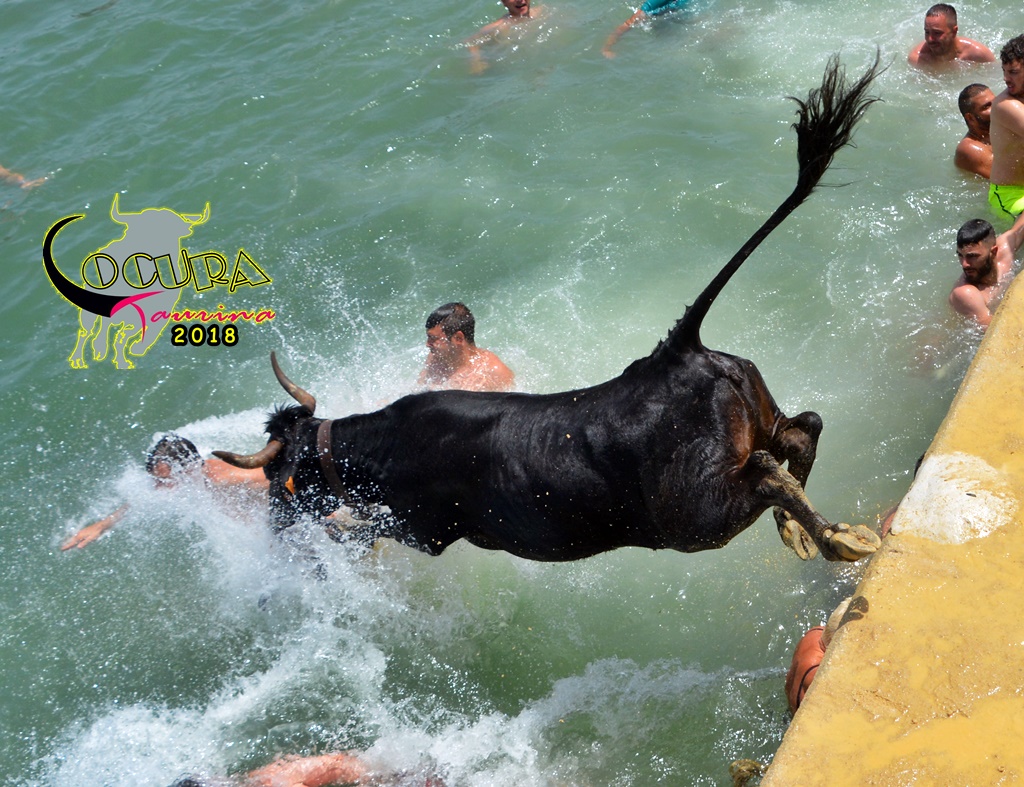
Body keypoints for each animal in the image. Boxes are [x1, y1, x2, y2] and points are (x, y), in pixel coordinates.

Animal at [216, 55, 884, 565]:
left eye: (276, 481)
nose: (272, 528)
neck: (385, 444)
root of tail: (677, 350)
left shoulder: (422, 530)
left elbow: (351, 532)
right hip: (755, 427)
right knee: (803, 429)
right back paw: (807, 530)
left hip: (697, 516)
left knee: (770, 472)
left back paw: (832, 538)